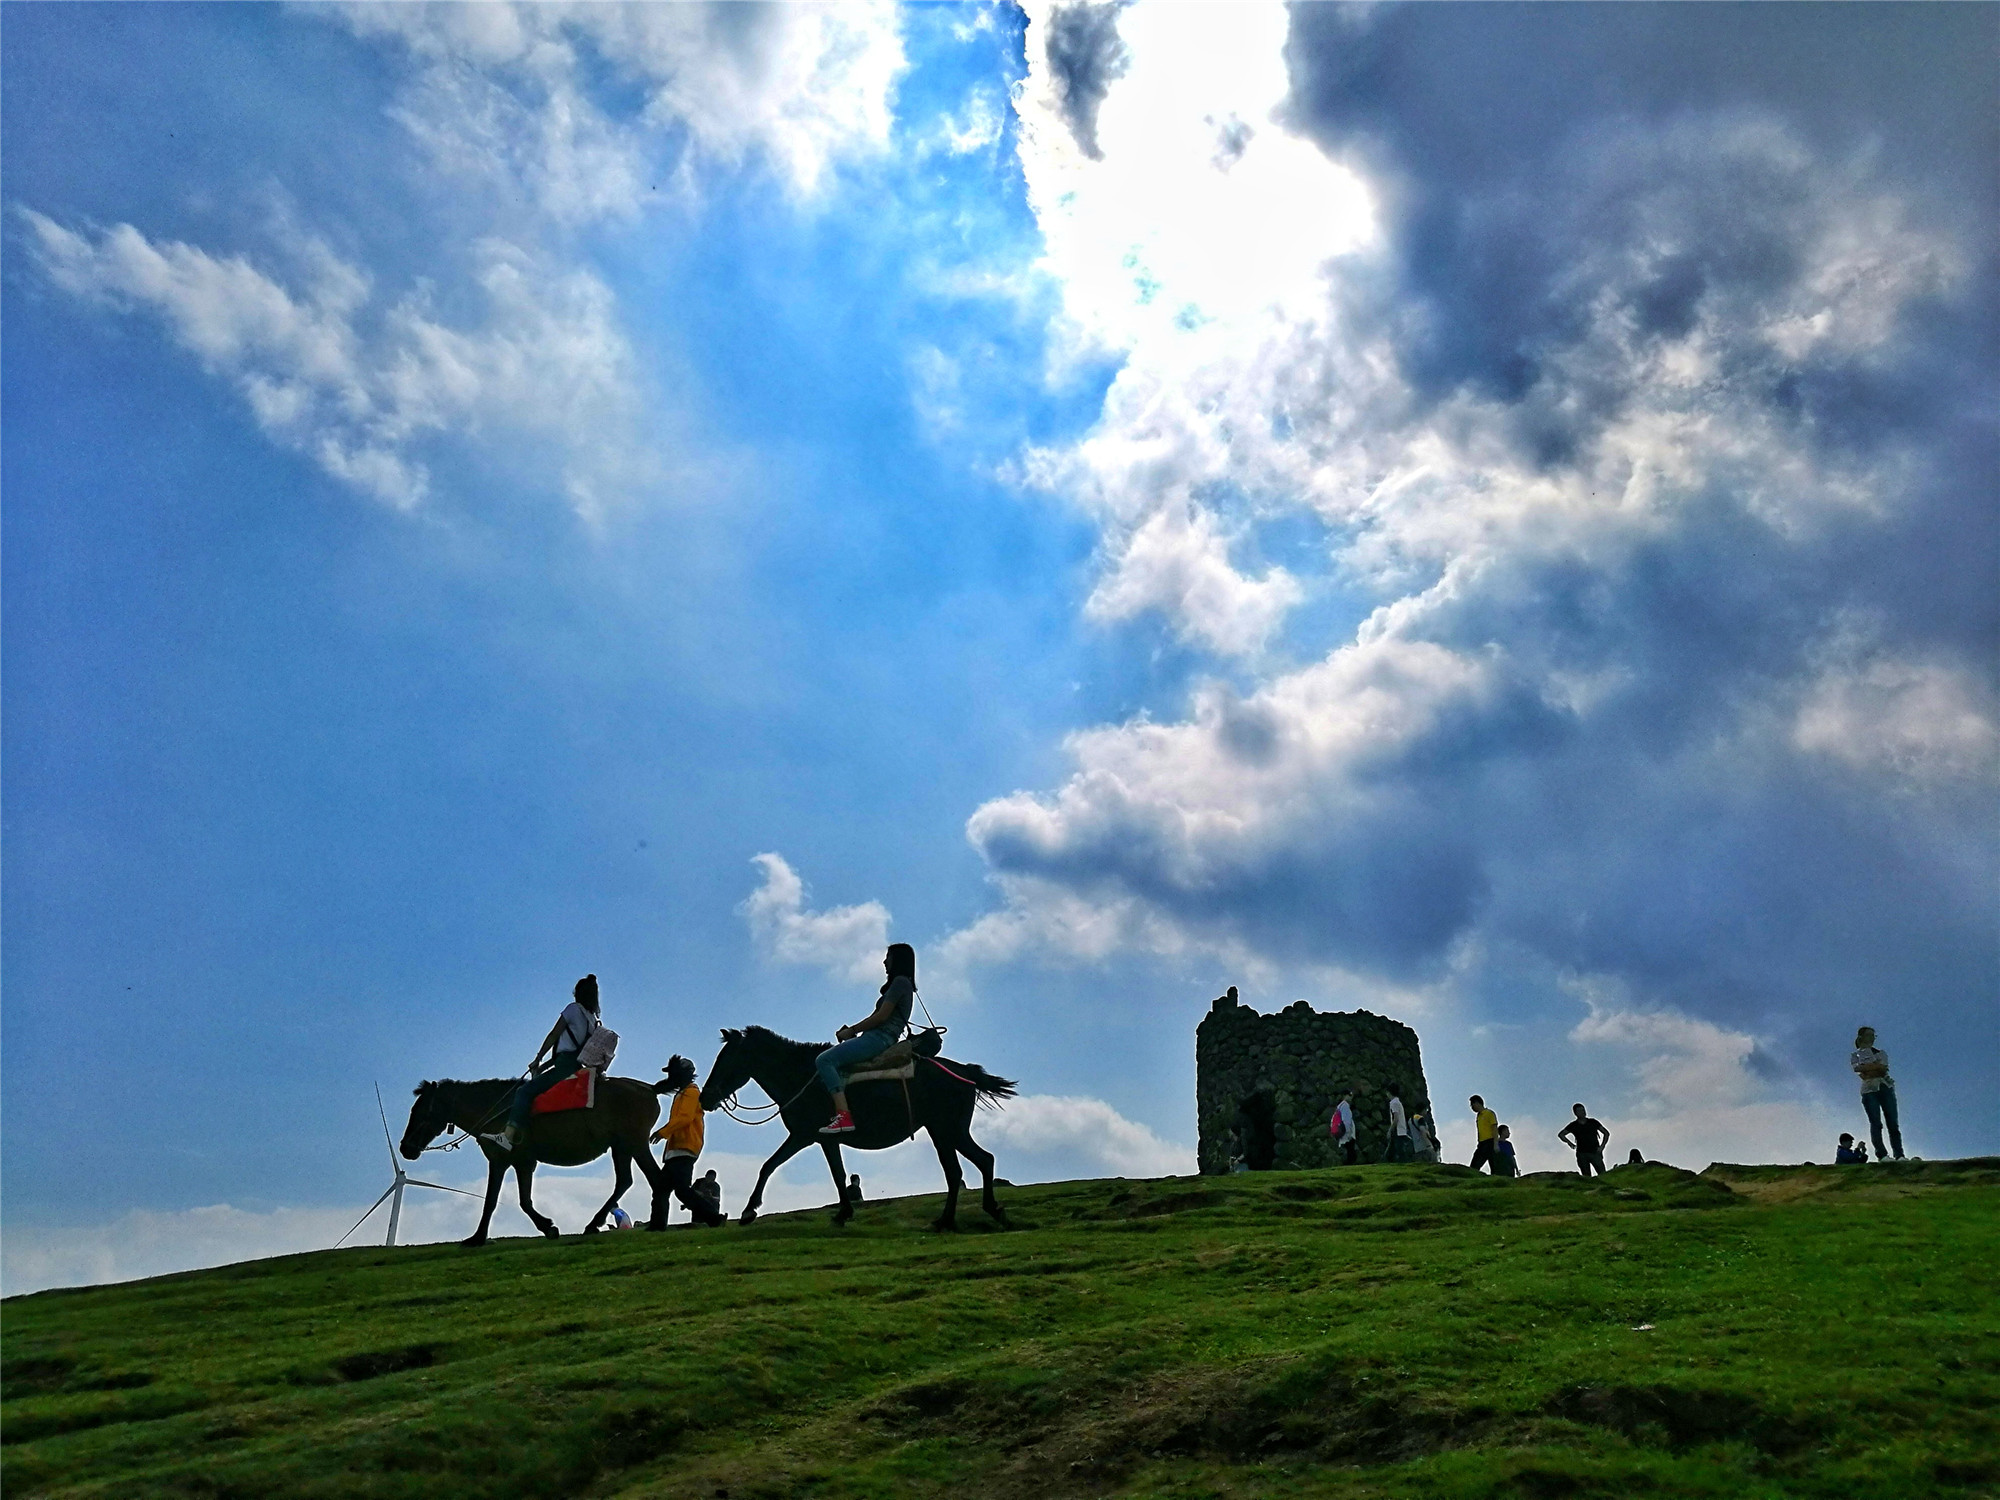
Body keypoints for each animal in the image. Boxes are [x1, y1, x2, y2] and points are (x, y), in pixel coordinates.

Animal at [402, 1080, 676, 1248]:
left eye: (421, 1110)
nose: (406, 1148)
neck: (497, 1110)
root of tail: (650, 1089)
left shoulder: (501, 1161)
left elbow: (492, 1200)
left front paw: (478, 1238)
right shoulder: (521, 1162)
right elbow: (523, 1200)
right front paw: (547, 1227)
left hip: (634, 1143)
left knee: (652, 1178)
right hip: (622, 1147)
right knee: (626, 1181)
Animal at [700, 1032, 1016, 1232]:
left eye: (726, 1059)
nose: (705, 1098)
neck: (801, 1077)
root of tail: (964, 1071)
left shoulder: (804, 1136)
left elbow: (769, 1166)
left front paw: (749, 1211)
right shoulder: (824, 1140)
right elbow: (837, 1175)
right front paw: (843, 1213)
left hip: (947, 1130)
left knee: (970, 1166)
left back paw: (959, 1218)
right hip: (945, 1132)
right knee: (968, 1166)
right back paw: (962, 1217)